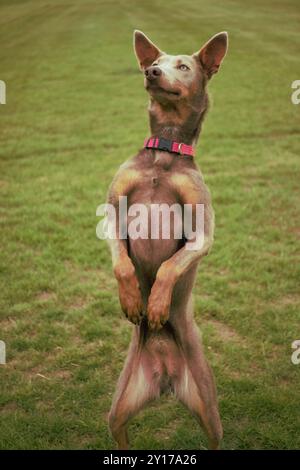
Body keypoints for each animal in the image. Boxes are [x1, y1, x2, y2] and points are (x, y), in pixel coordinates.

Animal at [107, 28, 227, 448]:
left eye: (184, 66)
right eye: (154, 62)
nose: (152, 71)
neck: (164, 152)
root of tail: (165, 375)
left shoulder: (202, 234)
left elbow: (170, 266)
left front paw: (156, 304)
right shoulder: (111, 213)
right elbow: (122, 262)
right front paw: (132, 298)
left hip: (210, 412)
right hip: (118, 409)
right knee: (120, 433)